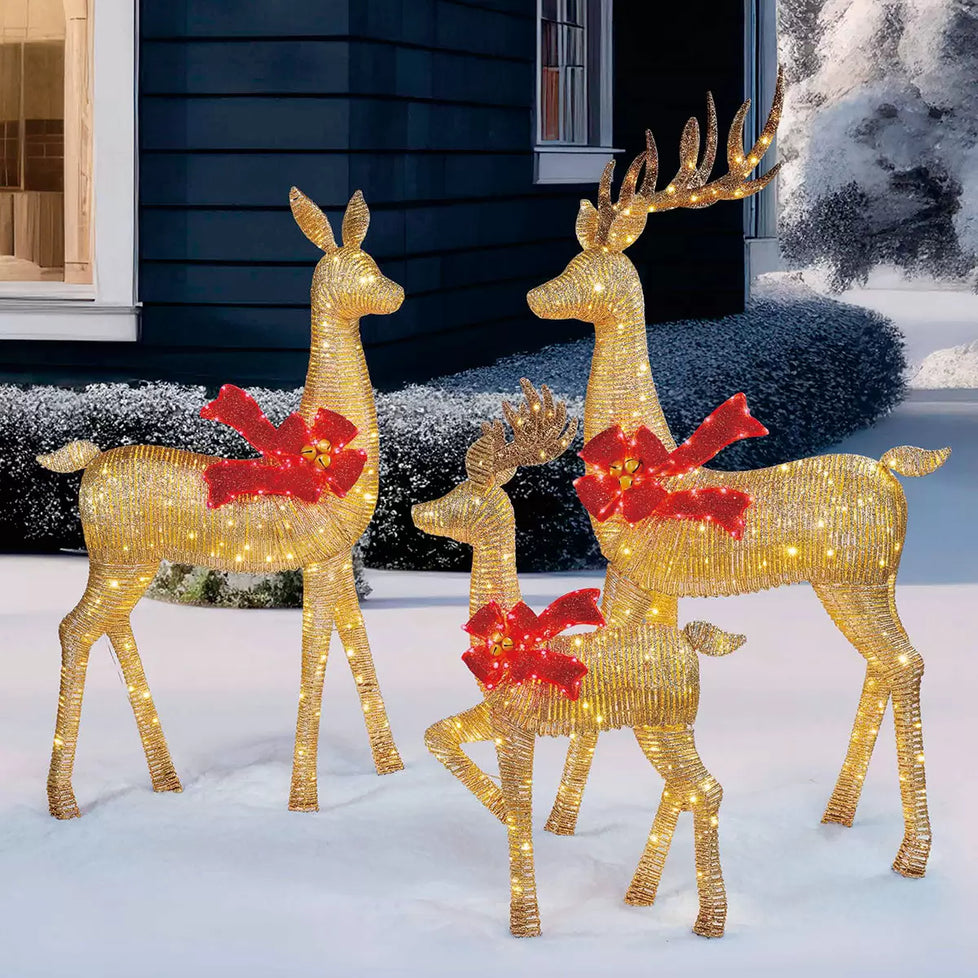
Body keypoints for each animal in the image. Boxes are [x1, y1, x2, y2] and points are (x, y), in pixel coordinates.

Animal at [37, 188, 404, 819]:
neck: (318, 450)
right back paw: (66, 803)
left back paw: (166, 783)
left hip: (125, 565)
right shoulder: (317, 561)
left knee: (109, 628)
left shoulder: (333, 561)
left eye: (376, 261)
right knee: (74, 629)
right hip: (118, 563)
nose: (398, 293)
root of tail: (88, 465)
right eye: (363, 269)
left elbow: (357, 650)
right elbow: (317, 655)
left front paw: (395, 774)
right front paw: (303, 803)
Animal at [412, 381, 746, 938]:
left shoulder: (516, 728)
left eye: (463, 494)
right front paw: (498, 808)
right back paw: (640, 897)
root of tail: (690, 642)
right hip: (659, 726)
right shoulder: (495, 718)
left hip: (669, 722)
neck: (512, 636)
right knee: (685, 787)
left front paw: (524, 925)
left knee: (707, 789)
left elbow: (521, 808)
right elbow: (436, 735)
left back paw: (708, 923)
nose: (418, 508)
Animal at [526, 66, 948, 880]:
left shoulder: (636, 571)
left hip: (856, 577)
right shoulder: (649, 581)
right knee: (883, 665)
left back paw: (911, 855)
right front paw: (576, 823)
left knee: (907, 662)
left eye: (584, 268)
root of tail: (892, 473)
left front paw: (561, 822)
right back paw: (839, 817)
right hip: (860, 581)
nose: (534, 295)